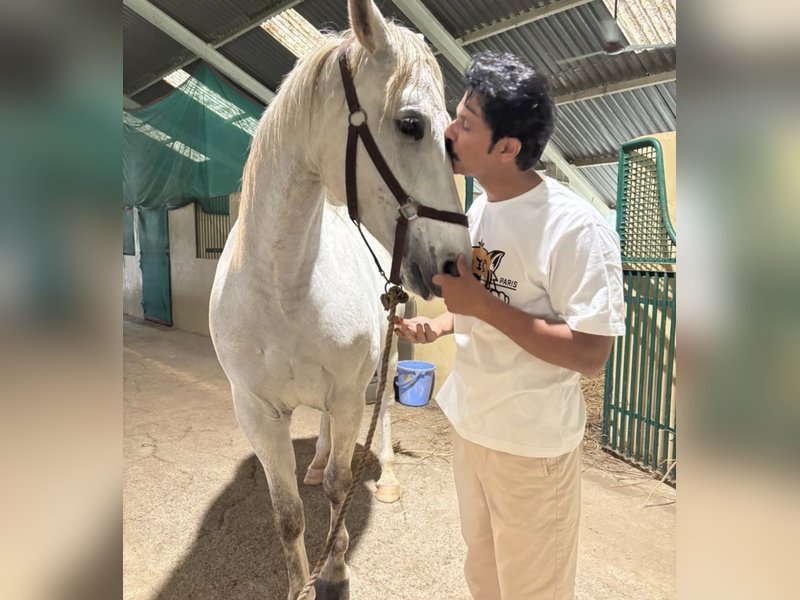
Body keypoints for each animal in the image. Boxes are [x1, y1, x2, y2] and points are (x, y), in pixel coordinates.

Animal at [209, 1, 470, 597]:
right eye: (411, 124)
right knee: (324, 437)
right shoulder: (255, 411)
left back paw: (388, 479)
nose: (456, 263)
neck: (283, 286)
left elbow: (339, 487)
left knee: (383, 419)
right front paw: (300, 583)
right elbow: (287, 512)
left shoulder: (351, 394)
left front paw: (334, 569)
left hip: (386, 357)